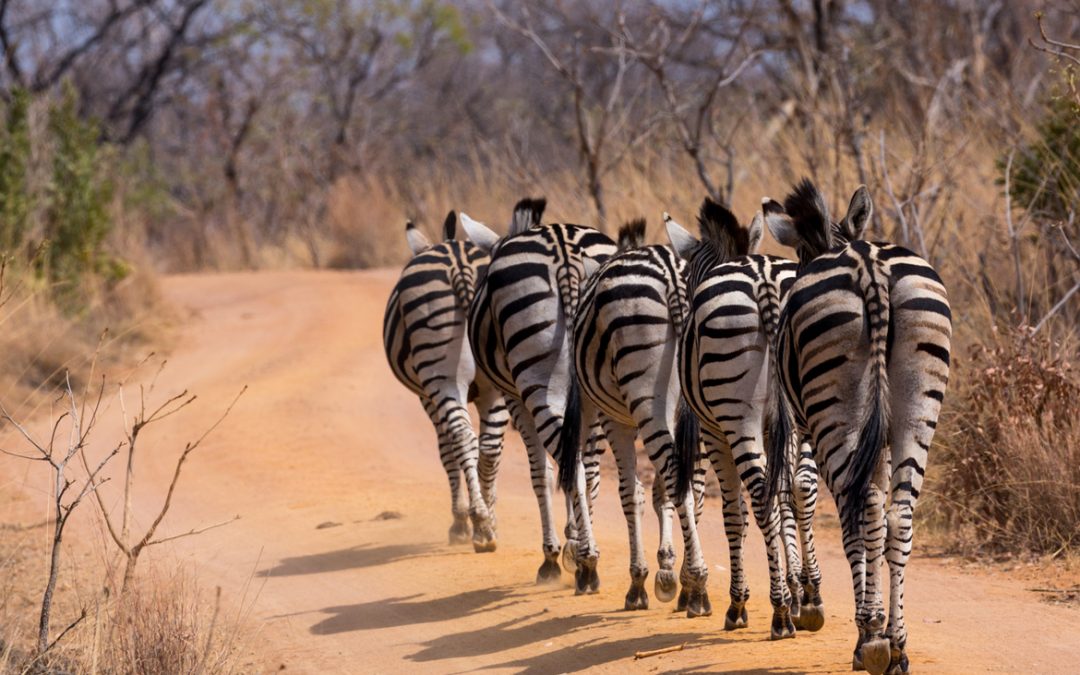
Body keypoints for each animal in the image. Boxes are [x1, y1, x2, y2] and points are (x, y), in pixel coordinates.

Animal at [382, 211, 510, 552]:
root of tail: (458, 261)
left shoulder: (427, 397)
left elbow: (446, 451)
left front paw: (460, 523)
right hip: (495, 384)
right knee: (489, 446)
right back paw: (488, 523)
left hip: (441, 378)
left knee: (464, 438)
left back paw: (479, 524)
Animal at [461, 199, 616, 589]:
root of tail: (565, 250)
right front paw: (572, 543)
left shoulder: (514, 398)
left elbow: (541, 472)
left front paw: (554, 555)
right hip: (595, 388)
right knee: (587, 469)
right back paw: (586, 555)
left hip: (536, 384)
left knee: (572, 468)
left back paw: (588, 565)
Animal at [557, 218, 712, 615]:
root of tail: (672, 274)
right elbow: (655, 493)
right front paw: (668, 573)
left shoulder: (613, 417)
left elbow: (625, 491)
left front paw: (632, 579)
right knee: (690, 483)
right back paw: (693, 585)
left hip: (643, 396)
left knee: (675, 480)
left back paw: (698, 587)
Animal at [762, 180, 951, 674]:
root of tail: (870, 267)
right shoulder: (880, 440)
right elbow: (881, 518)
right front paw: (884, 622)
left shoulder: (808, 428)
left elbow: (805, 495)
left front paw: (862, 621)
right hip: (916, 408)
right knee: (897, 515)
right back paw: (897, 646)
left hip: (834, 414)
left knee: (856, 509)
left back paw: (868, 641)